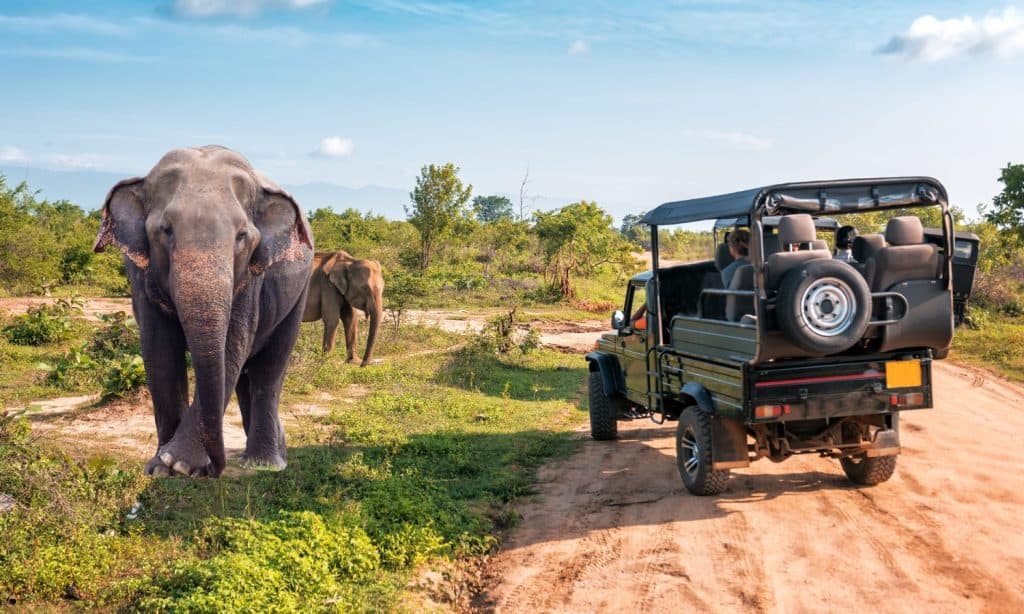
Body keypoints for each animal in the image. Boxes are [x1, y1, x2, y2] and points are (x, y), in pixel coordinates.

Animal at [93, 146, 313, 477]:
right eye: (166, 230)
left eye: (242, 236)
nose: (214, 468)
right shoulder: (140, 275)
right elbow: (160, 351)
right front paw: (161, 469)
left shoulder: (252, 277)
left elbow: (232, 347)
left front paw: (179, 464)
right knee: (247, 376)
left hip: (299, 296)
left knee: (270, 368)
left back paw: (264, 464)